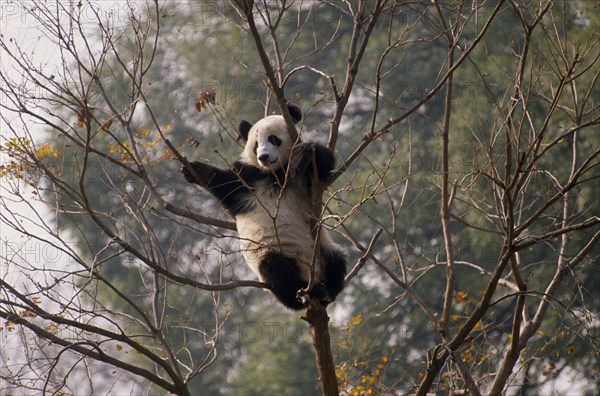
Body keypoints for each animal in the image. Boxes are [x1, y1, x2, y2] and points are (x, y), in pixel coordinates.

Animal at [180, 104, 344, 310]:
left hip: (321, 247)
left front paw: (303, 155)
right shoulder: (248, 177)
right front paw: (194, 170)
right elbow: (225, 187)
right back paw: (309, 292)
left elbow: (322, 165)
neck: (274, 173)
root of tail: (310, 275)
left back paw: (328, 290)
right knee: (278, 272)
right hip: (271, 251)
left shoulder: (305, 181)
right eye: (255, 145)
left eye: (273, 139)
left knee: (337, 260)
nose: (263, 157)